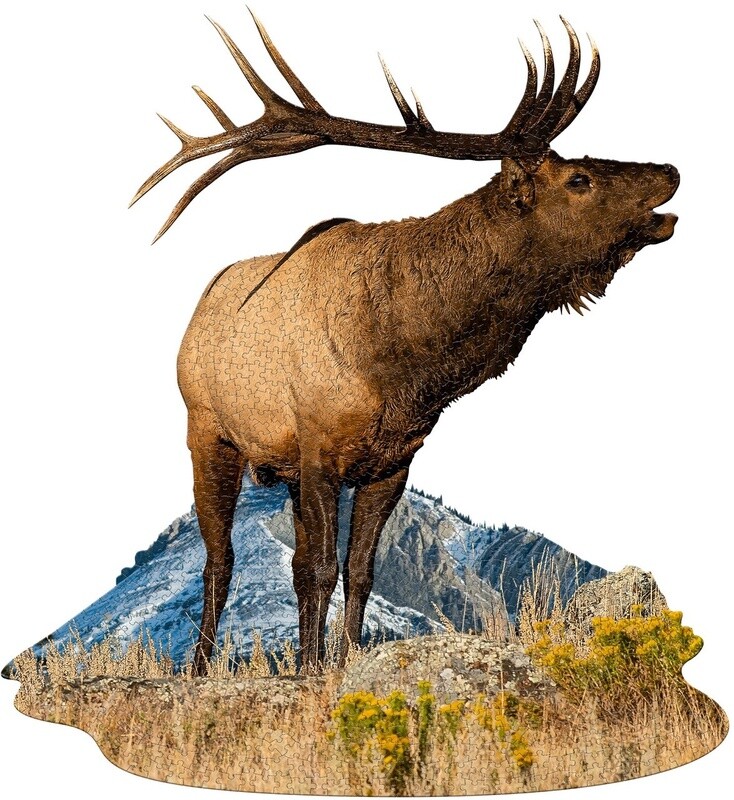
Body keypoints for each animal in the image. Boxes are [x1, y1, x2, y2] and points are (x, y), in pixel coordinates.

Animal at [130, 12, 679, 674]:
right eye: (580, 178)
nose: (671, 171)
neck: (405, 366)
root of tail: (197, 308)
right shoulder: (319, 447)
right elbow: (316, 568)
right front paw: (311, 672)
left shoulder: (393, 460)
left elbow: (359, 573)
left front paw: (341, 662)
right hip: (209, 432)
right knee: (221, 559)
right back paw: (200, 666)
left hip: (281, 465)